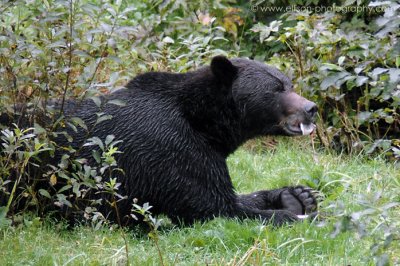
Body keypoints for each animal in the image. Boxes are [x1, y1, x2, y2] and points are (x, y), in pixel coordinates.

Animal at [2, 55, 318, 224]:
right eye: (275, 89)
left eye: (289, 83)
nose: (311, 108)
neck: (204, 123)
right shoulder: (170, 148)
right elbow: (216, 206)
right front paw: (300, 215)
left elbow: (229, 195)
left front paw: (298, 195)